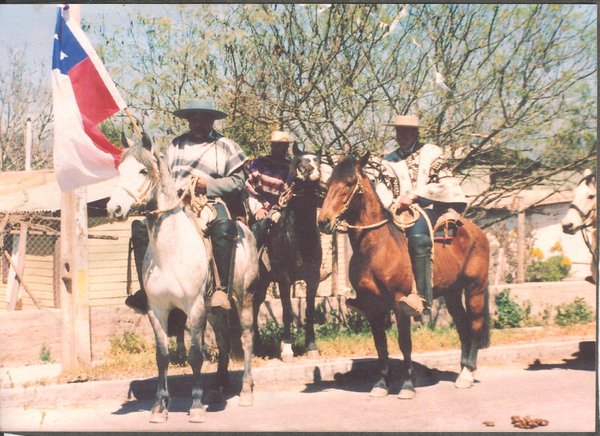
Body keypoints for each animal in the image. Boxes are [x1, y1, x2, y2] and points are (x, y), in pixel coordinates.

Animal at [316, 153, 490, 398]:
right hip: (452, 293)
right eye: (329, 183)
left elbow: (404, 343)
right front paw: (381, 384)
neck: (377, 247)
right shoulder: (372, 306)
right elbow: (381, 345)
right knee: (463, 325)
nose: (324, 221)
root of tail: (477, 232)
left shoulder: (401, 304)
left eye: (349, 183)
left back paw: (467, 374)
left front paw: (407, 385)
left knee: (474, 324)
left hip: (475, 287)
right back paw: (463, 369)